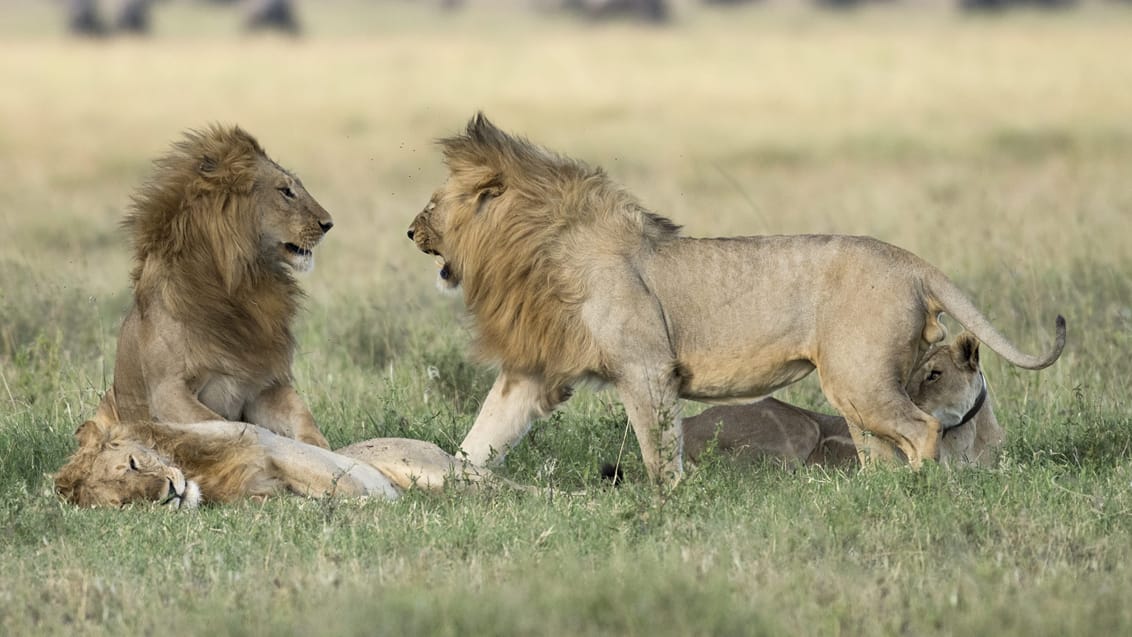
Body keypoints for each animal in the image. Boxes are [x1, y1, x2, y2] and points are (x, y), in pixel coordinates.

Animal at [97, 126, 332, 448]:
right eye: (285, 191)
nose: (328, 223)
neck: (241, 285)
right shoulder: (168, 391)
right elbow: (225, 425)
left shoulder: (260, 388)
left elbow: (300, 413)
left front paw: (319, 447)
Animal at [674, 332, 1005, 470]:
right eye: (907, 374)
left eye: (935, 374)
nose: (906, 404)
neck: (967, 434)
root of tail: (689, 421)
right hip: (800, 427)